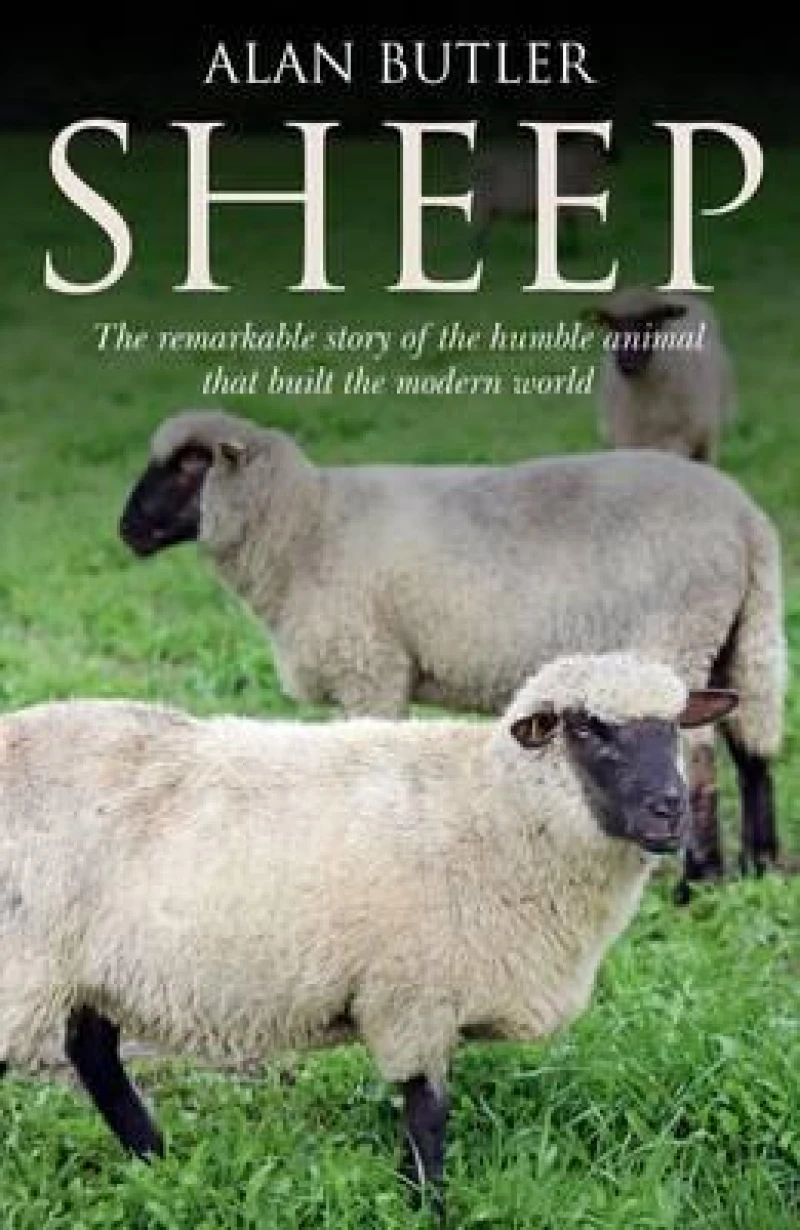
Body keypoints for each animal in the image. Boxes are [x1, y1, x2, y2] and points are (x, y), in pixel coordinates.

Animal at [0, 653, 738, 1216]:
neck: (493, 812)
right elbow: (427, 1113)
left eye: (675, 727)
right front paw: (426, 1207)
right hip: (27, 967)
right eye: (587, 728)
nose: (670, 811)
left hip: (86, 965)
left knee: (93, 1052)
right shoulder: (414, 996)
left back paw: (154, 1160)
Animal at [118, 409, 788, 900]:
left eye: (189, 465)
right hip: (734, 636)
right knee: (748, 744)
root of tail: (747, 519)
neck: (304, 527)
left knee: (697, 753)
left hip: (675, 635)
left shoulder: (372, 667)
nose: (127, 531)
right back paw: (760, 865)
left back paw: (697, 881)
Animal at [472, 132, 618, 253]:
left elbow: (571, 227)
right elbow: (567, 227)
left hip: (491, 209)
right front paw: (566, 252)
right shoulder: (563, 207)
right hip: (484, 204)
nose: (618, 157)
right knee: (480, 228)